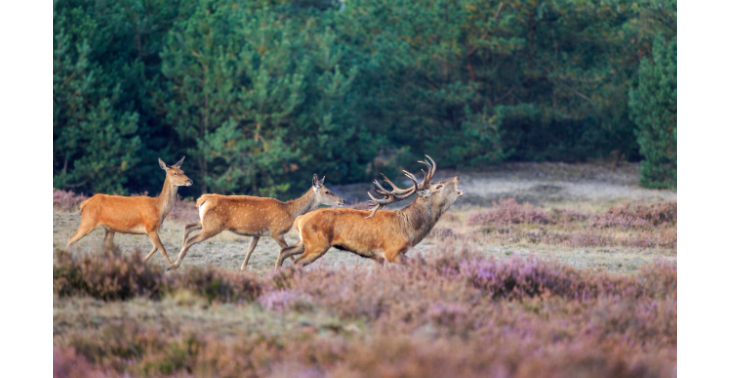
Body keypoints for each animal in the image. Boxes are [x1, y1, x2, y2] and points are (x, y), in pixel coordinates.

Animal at [171, 176, 344, 270]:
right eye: (327, 191)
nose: (342, 200)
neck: (290, 211)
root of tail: (203, 199)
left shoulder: (257, 233)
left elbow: (250, 250)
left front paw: (242, 268)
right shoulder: (276, 231)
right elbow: (287, 252)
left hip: (204, 223)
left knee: (187, 227)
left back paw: (175, 258)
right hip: (212, 226)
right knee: (191, 239)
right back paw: (174, 264)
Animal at [272, 157, 460, 268]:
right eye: (439, 186)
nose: (457, 177)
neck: (410, 228)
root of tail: (299, 219)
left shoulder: (379, 257)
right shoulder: (392, 252)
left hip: (304, 242)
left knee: (284, 251)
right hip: (316, 244)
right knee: (295, 263)